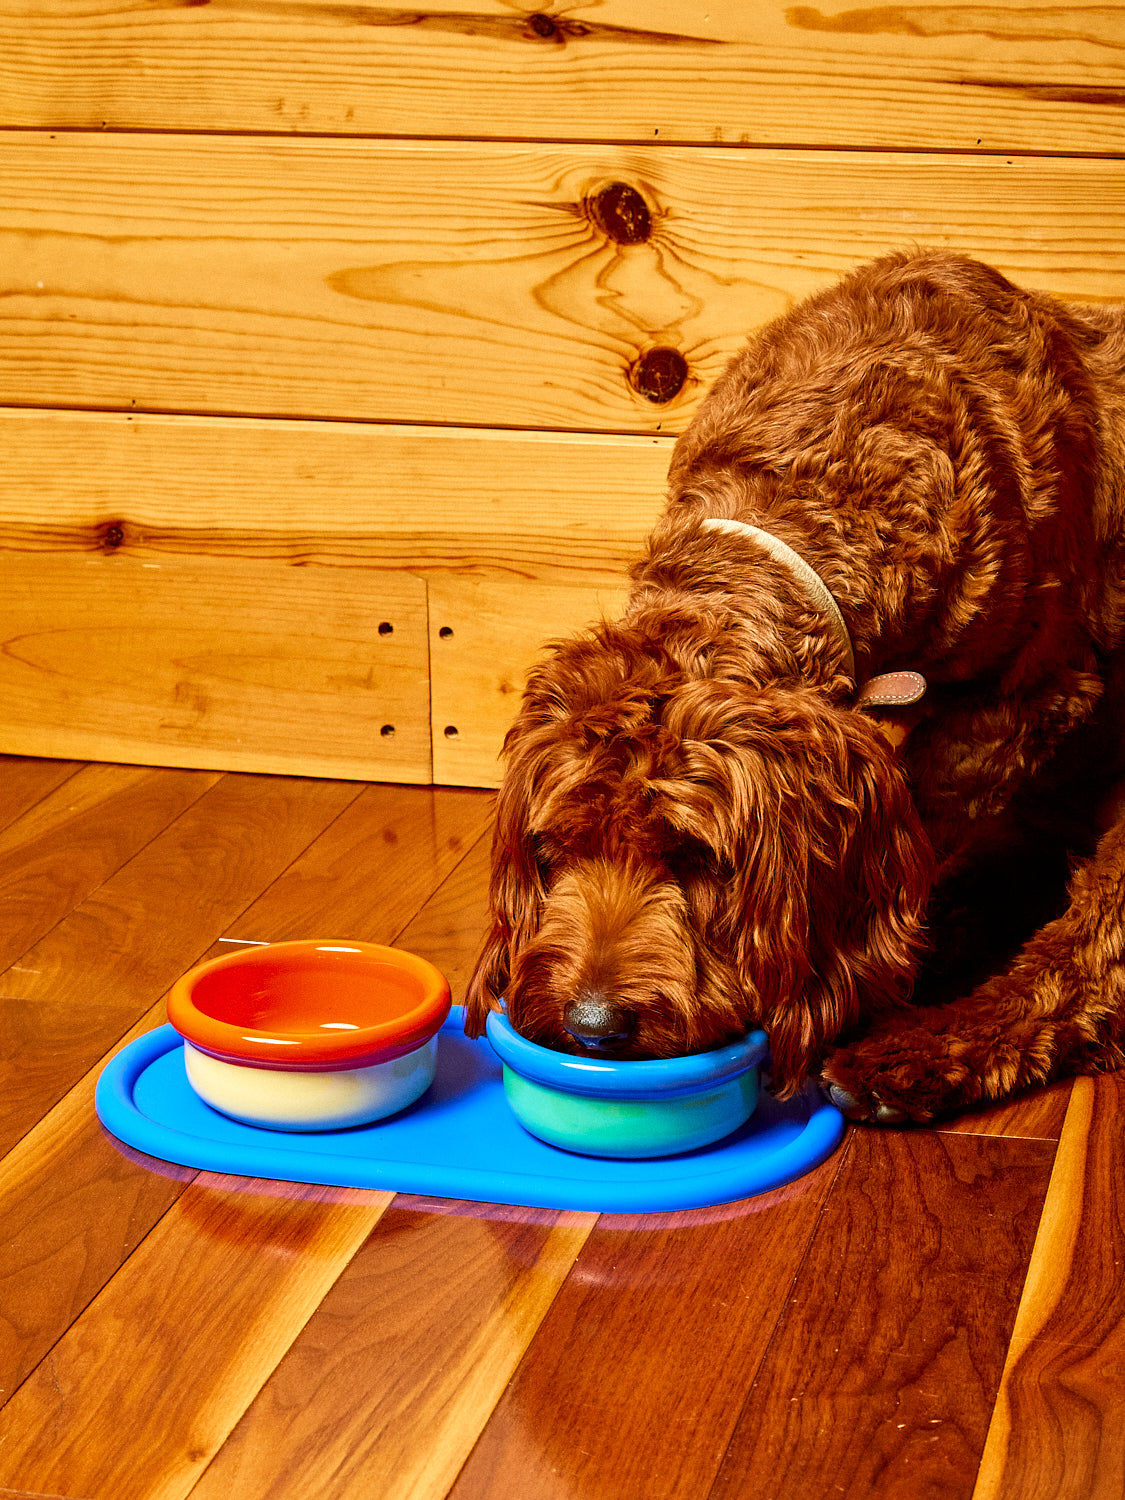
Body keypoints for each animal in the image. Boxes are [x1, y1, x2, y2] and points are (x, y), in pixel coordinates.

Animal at [459, 252, 1125, 1122]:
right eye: (552, 849)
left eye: (695, 857)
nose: (592, 1024)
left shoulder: (1021, 700)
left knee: (1081, 963)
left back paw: (916, 1052)